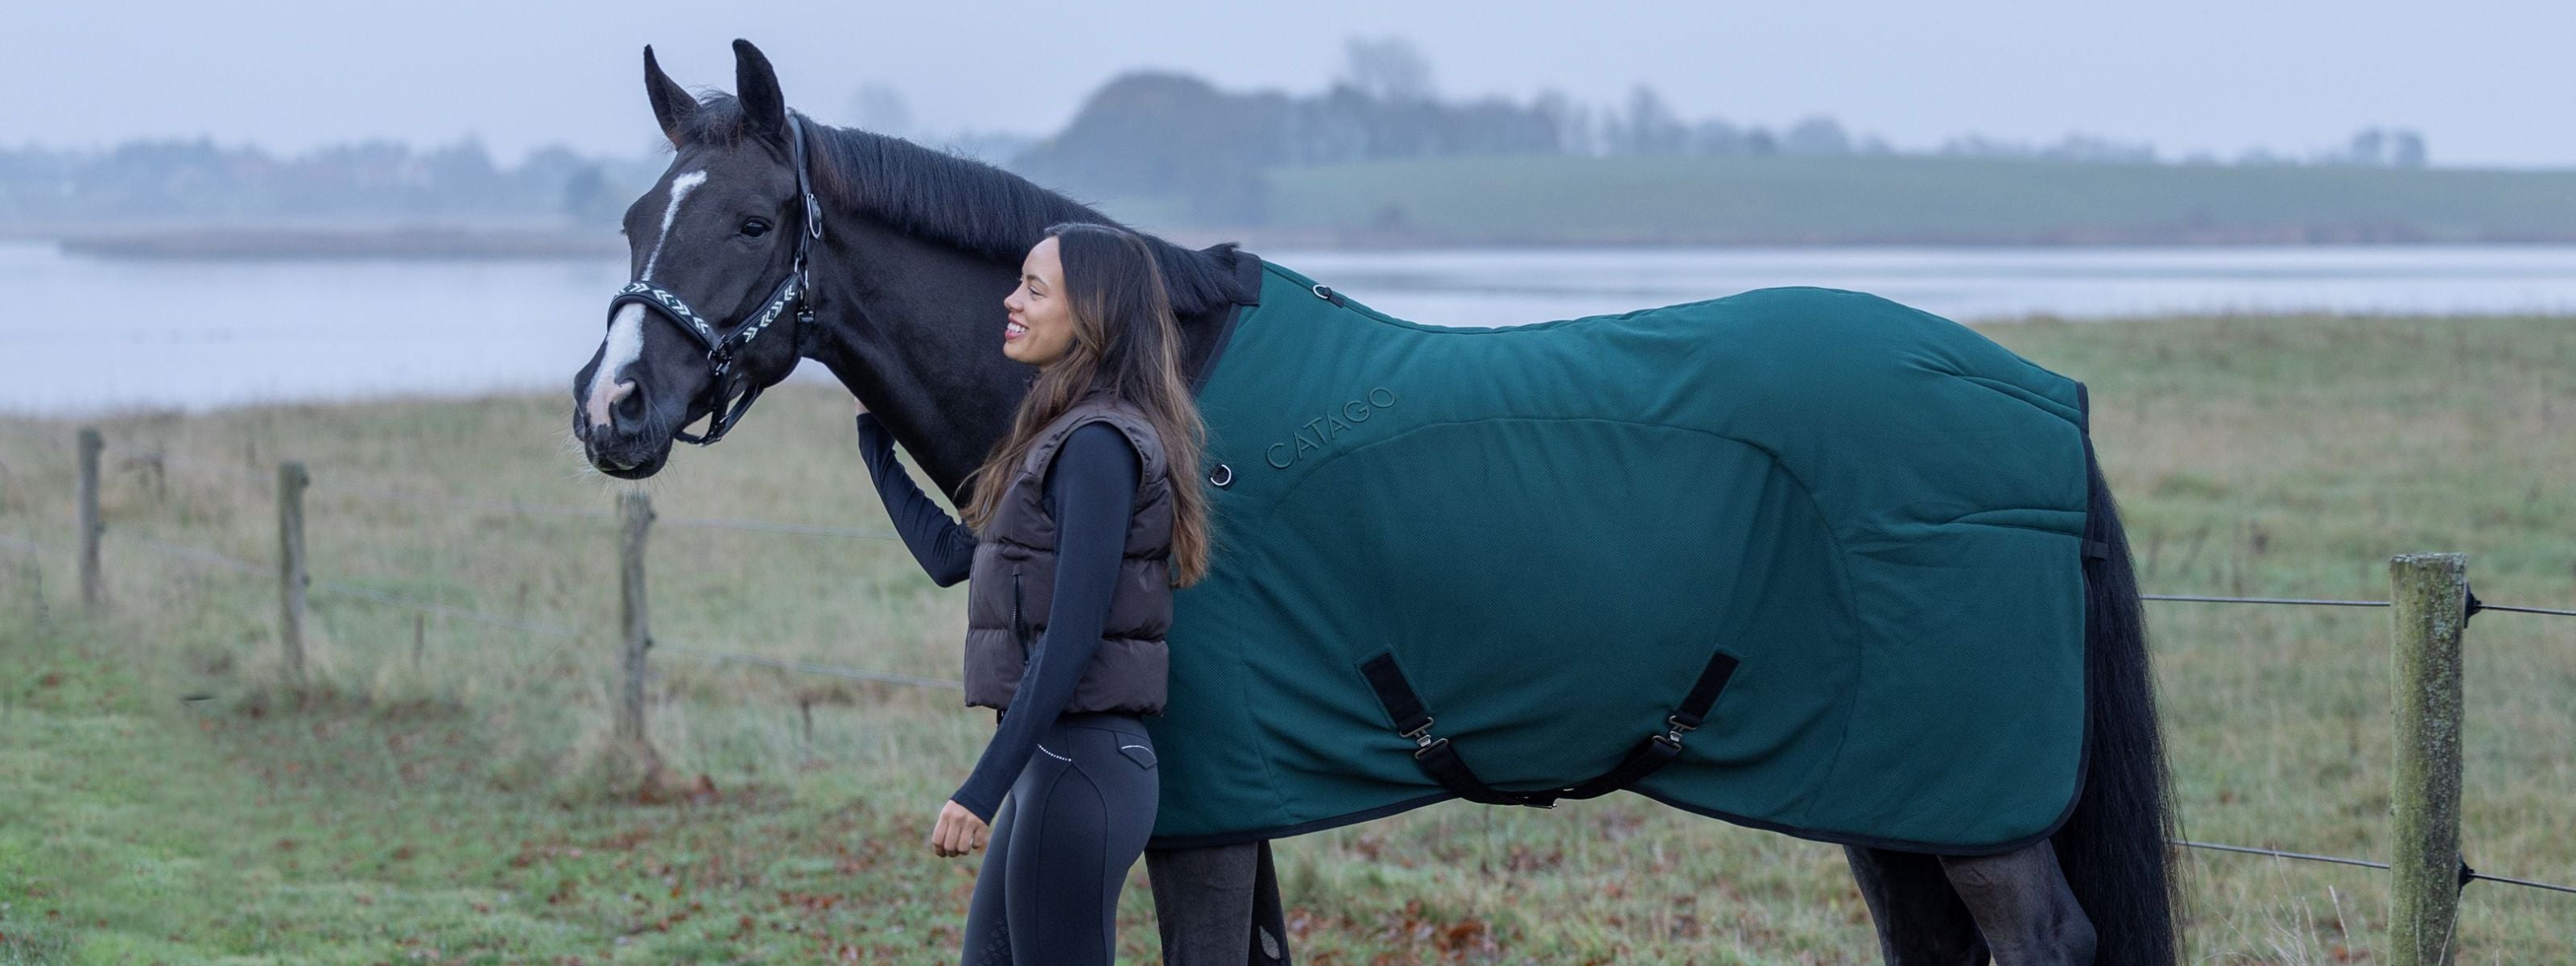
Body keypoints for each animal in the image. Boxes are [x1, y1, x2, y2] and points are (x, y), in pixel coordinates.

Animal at [571, 40, 2177, 966]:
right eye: (636, 215)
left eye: (755, 219)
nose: (612, 407)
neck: (1162, 385)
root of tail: (2040, 395)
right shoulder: (1239, 808)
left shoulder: (1203, 820)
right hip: (1884, 795)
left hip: (1970, 807)